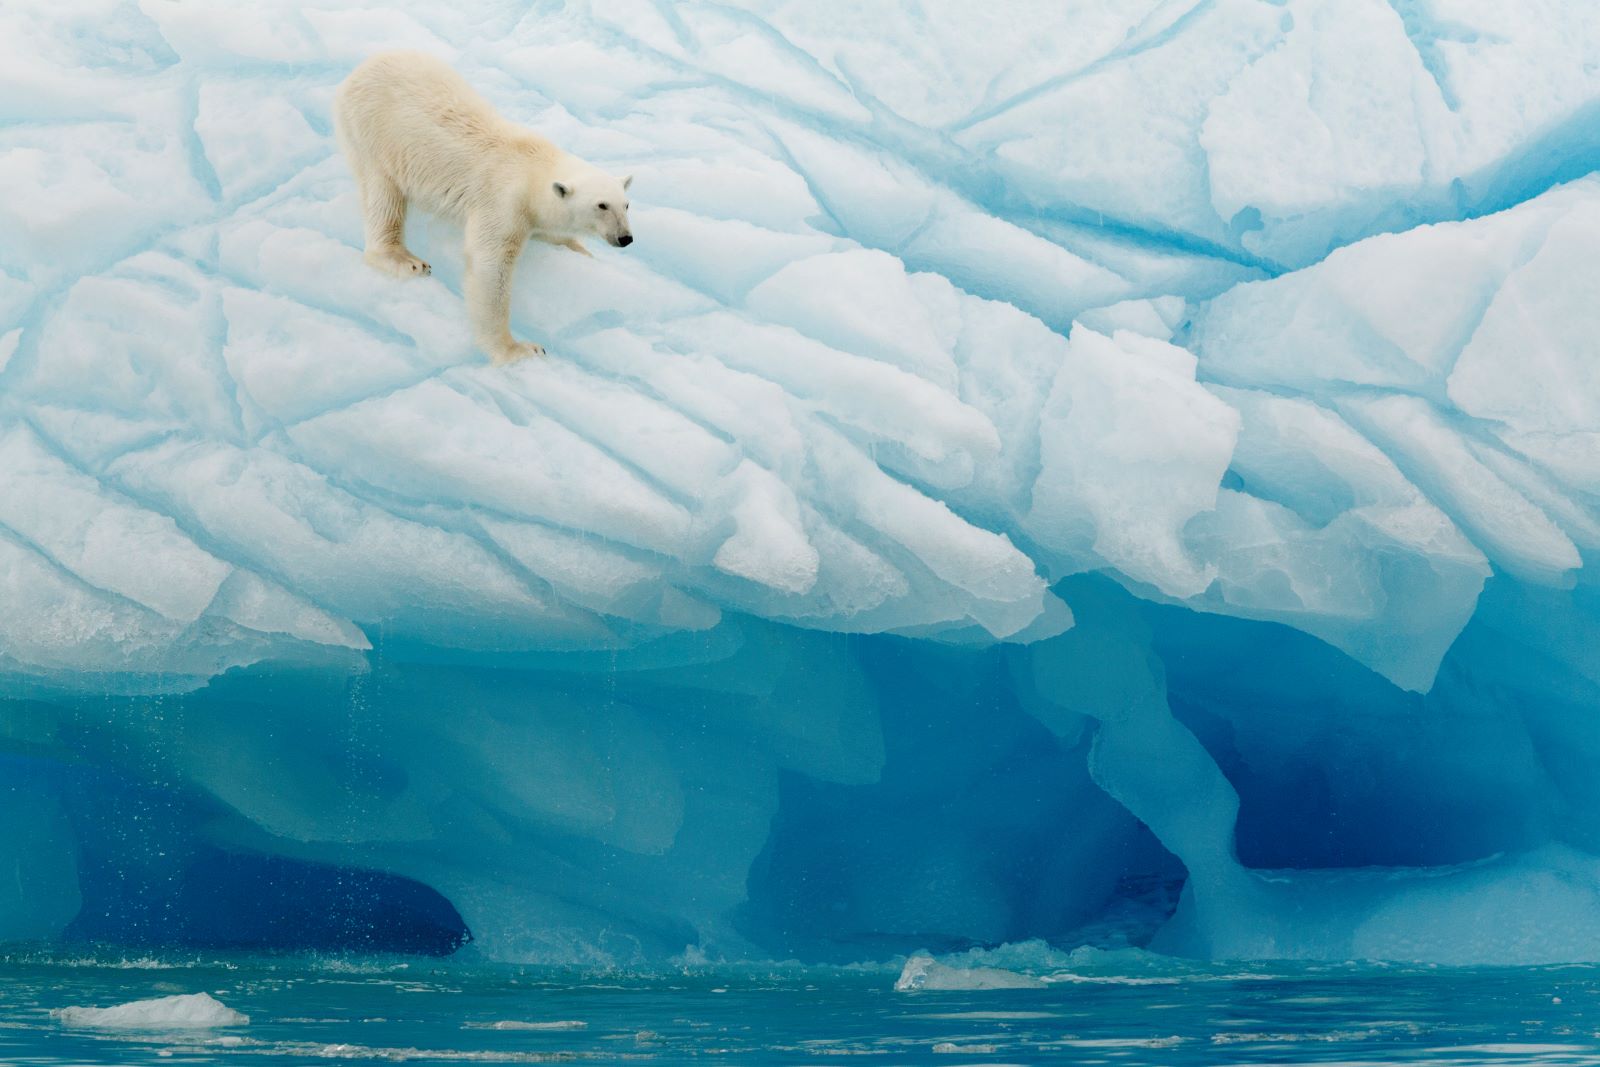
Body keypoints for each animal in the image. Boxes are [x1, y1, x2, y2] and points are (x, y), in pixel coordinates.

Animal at [334, 51, 633, 363]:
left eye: (626, 204)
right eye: (601, 205)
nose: (625, 238)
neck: (533, 167)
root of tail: (358, 72)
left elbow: (550, 232)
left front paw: (582, 251)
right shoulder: (503, 203)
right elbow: (490, 267)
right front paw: (519, 349)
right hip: (373, 133)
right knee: (383, 194)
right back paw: (406, 260)